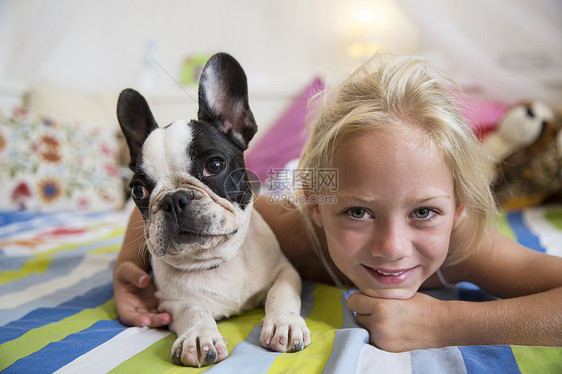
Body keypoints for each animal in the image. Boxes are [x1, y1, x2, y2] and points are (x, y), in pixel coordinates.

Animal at [116, 53, 308, 368]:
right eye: (137, 191)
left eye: (214, 166)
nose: (173, 200)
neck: (215, 260)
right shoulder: (168, 303)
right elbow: (193, 310)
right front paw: (198, 337)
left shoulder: (285, 271)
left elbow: (281, 293)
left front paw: (284, 323)